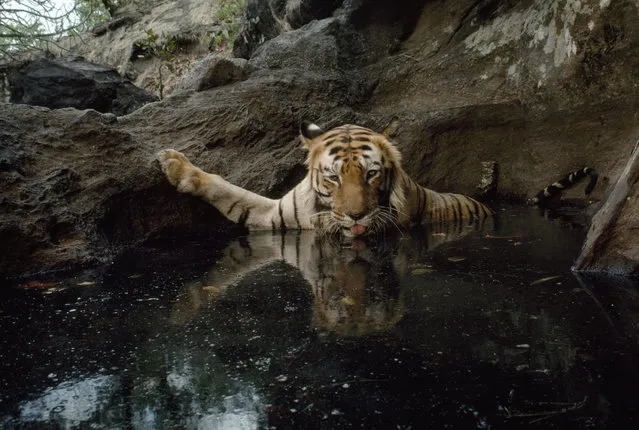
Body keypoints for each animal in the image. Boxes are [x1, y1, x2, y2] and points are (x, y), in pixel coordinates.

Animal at [158, 121, 492, 237]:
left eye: (372, 173)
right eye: (333, 177)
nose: (356, 216)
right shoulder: (272, 215)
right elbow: (230, 191)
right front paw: (174, 164)